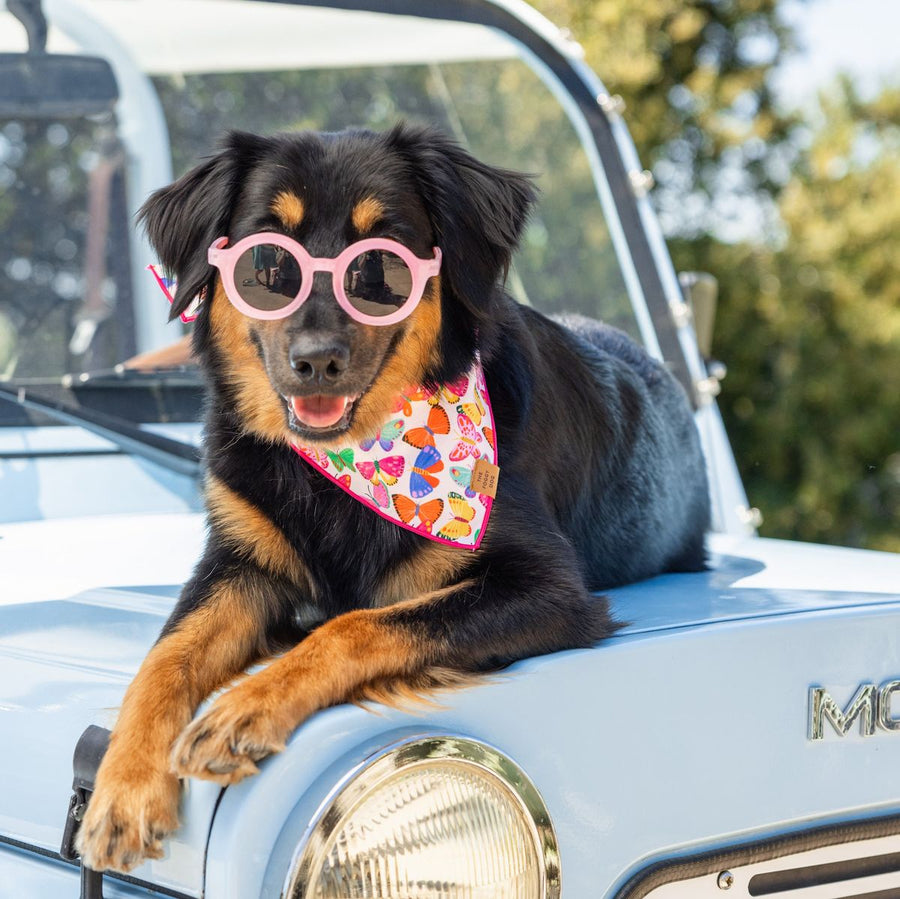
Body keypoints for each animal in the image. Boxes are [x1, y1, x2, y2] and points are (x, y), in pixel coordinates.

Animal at [75, 125, 712, 872]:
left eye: (380, 268)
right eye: (268, 263)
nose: (317, 361)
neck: (348, 465)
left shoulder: (551, 589)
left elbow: (357, 624)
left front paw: (245, 707)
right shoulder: (237, 562)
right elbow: (165, 658)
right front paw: (124, 786)